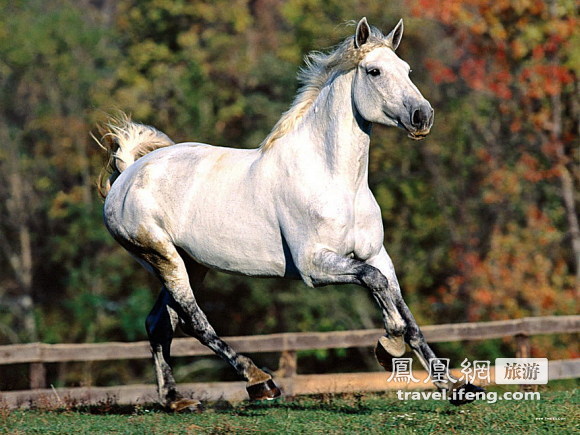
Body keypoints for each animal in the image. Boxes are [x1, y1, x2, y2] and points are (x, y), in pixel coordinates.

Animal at [98, 17, 480, 412]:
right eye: (374, 71)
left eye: (407, 70)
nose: (423, 116)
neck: (336, 180)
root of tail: (128, 173)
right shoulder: (314, 266)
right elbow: (376, 285)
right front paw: (389, 344)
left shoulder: (377, 255)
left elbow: (405, 311)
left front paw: (456, 388)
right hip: (162, 256)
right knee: (194, 321)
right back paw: (259, 381)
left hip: (190, 263)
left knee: (160, 323)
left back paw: (176, 400)